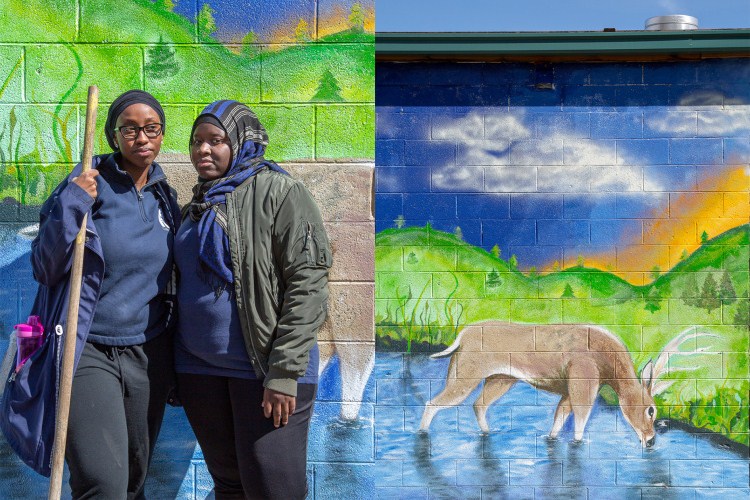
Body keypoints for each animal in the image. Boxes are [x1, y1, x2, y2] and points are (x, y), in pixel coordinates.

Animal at [420, 322, 720, 448]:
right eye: (651, 410)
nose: (650, 440)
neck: (609, 364)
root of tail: (461, 336)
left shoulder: (568, 389)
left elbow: (561, 415)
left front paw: (551, 439)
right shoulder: (583, 381)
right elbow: (581, 416)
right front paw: (577, 443)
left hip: (501, 378)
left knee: (478, 404)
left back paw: (488, 433)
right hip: (467, 374)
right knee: (434, 401)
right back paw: (422, 433)